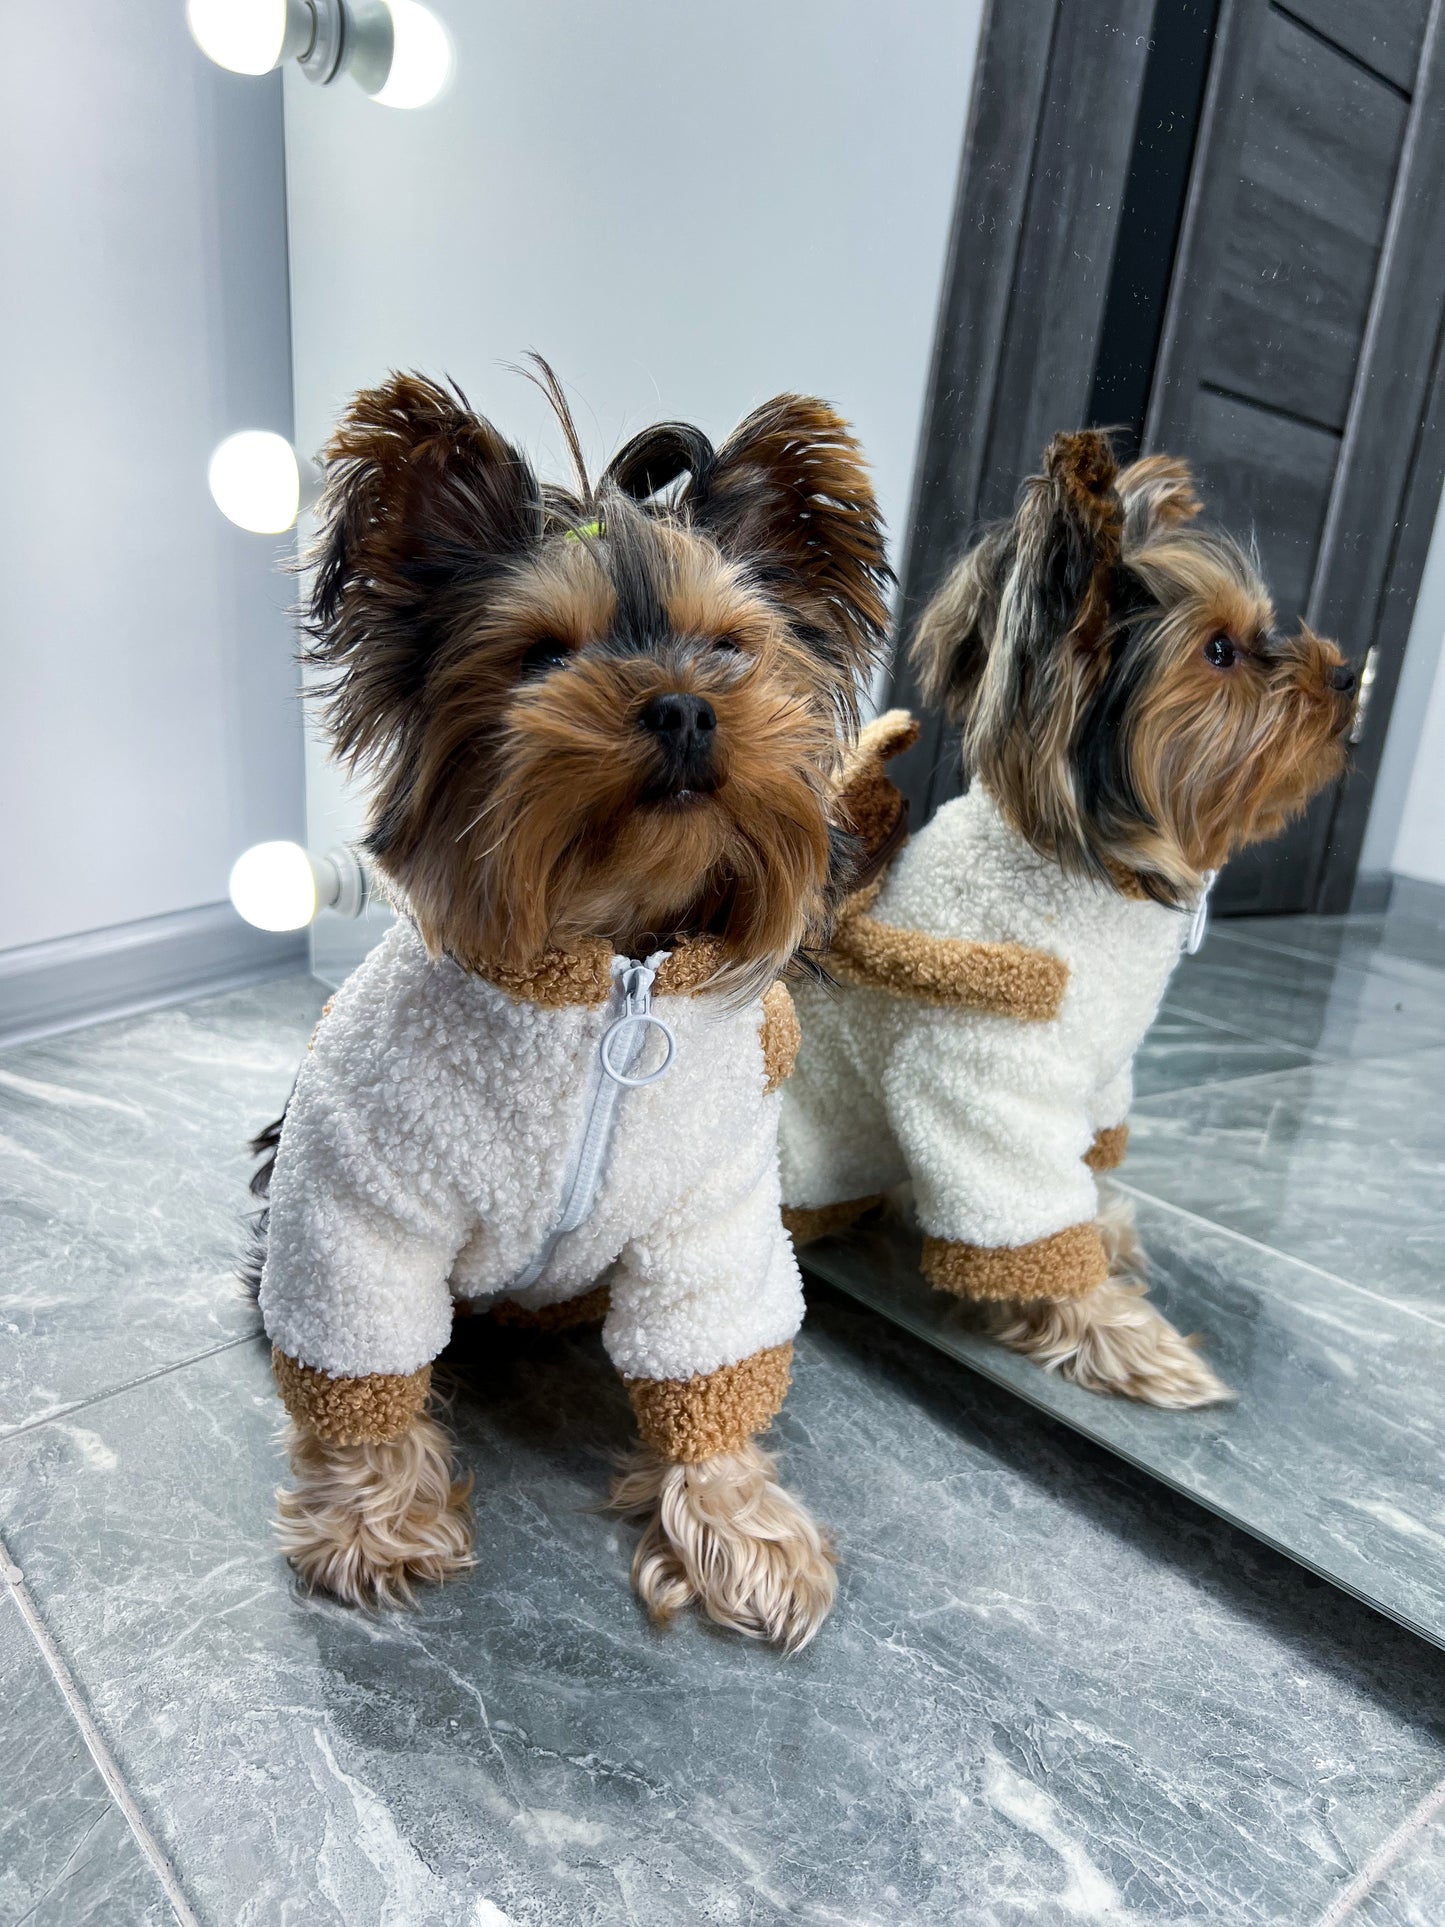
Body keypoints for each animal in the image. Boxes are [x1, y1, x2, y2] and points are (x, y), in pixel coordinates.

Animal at [243, 368, 890, 1649]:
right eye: (543, 655)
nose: (685, 707)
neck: (607, 963)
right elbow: (357, 1357)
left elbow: (711, 1361)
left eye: (731, 649)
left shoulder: (709, 1219)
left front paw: (739, 1528)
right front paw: (369, 1520)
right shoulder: (360, 1206)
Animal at [782, 433, 1356, 1402]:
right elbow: (1029, 1218)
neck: (1099, 873)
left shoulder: (1098, 1075)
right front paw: (1123, 1334)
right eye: (1220, 652)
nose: (1349, 674)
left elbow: (1087, 1171)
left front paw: (1112, 1233)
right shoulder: (982, 1088)